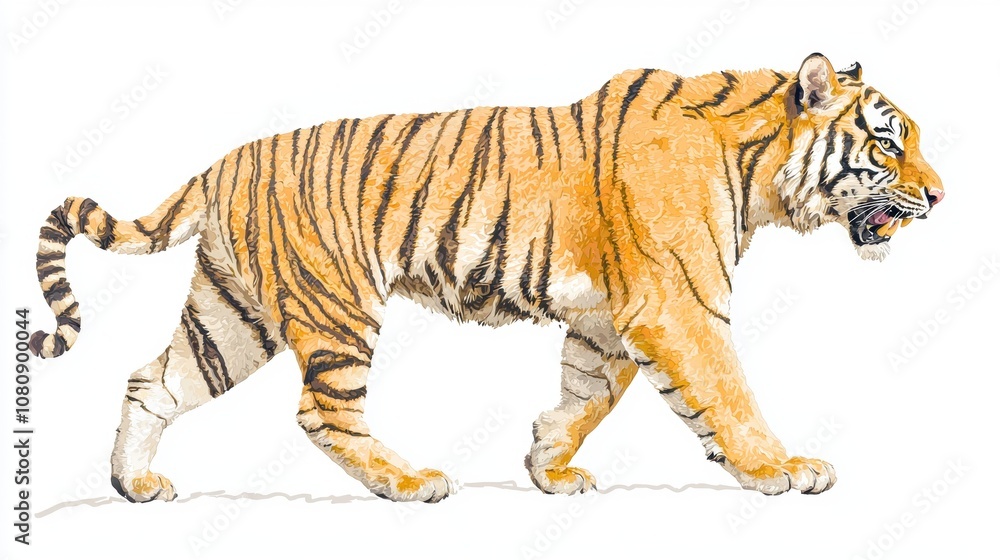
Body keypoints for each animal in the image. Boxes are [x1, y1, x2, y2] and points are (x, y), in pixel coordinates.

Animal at [29, 53, 943, 504]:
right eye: (888, 142)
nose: (940, 196)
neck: (758, 170)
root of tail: (221, 163)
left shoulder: (609, 319)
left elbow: (588, 395)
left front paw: (548, 465)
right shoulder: (678, 304)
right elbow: (727, 393)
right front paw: (781, 468)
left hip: (232, 316)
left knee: (152, 380)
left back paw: (134, 484)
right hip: (335, 308)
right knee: (323, 413)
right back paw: (408, 484)